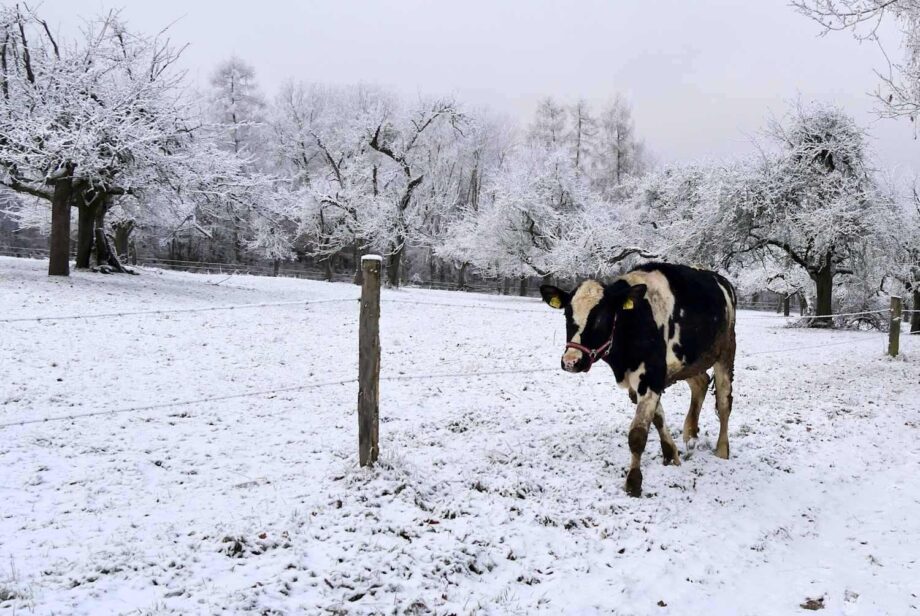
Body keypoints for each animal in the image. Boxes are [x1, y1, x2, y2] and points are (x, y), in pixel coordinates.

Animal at [540, 262, 737, 497]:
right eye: (567, 315)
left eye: (601, 317)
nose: (571, 361)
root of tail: (721, 280)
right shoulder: (643, 381)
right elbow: (657, 418)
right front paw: (671, 455)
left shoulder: (651, 377)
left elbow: (637, 435)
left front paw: (634, 482)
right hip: (691, 360)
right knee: (701, 383)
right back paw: (690, 435)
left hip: (725, 353)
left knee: (724, 403)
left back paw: (722, 450)